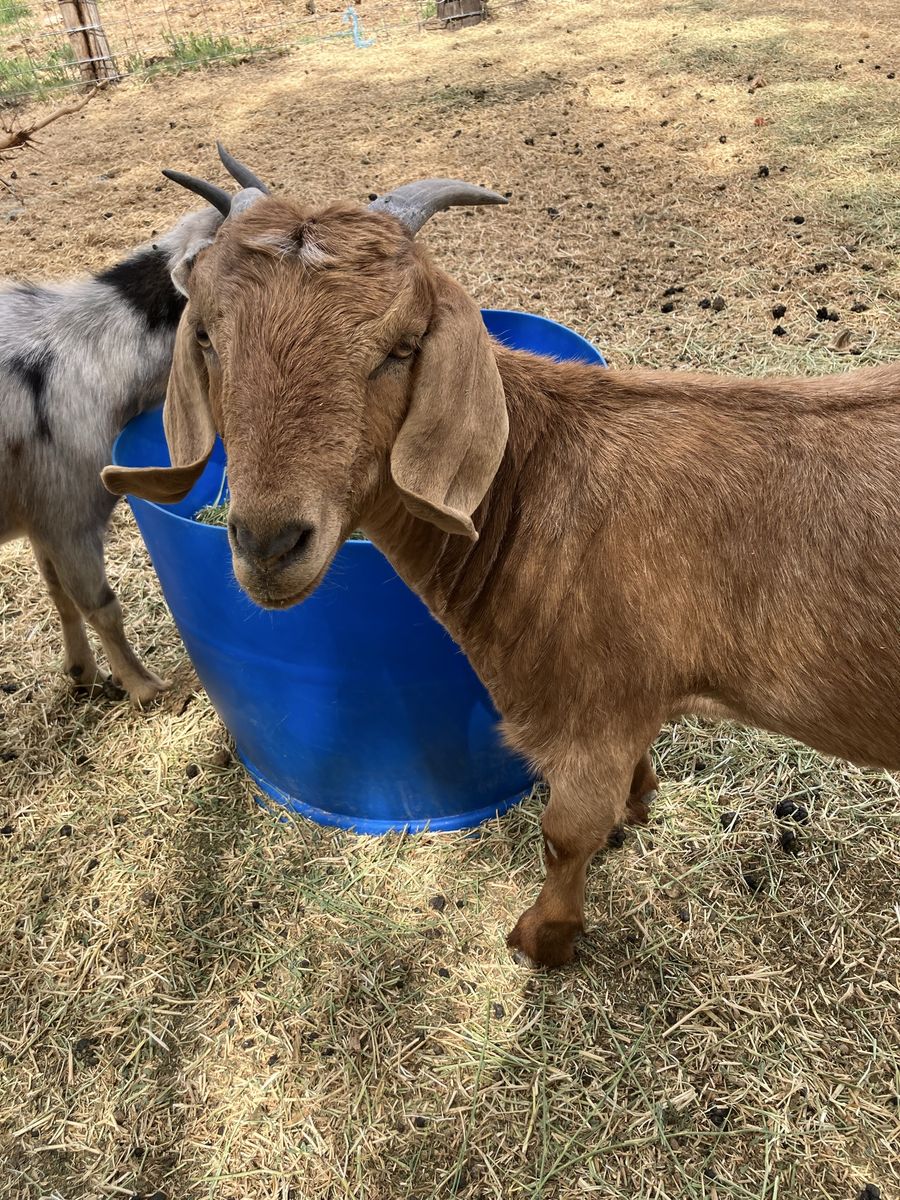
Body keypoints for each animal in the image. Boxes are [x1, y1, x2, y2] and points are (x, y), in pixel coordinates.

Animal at [1, 205, 221, 703]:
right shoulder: (69, 518)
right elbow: (100, 605)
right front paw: (143, 686)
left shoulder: (41, 522)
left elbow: (59, 593)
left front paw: (83, 672)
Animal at [103, 148, 900, 965]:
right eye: (207, 338)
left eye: (401, 348)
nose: (269, 544)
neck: (531, 484)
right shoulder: (632, 704)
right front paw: (639, 806)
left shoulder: (588, 715)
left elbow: (566, 834)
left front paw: (542, 940)